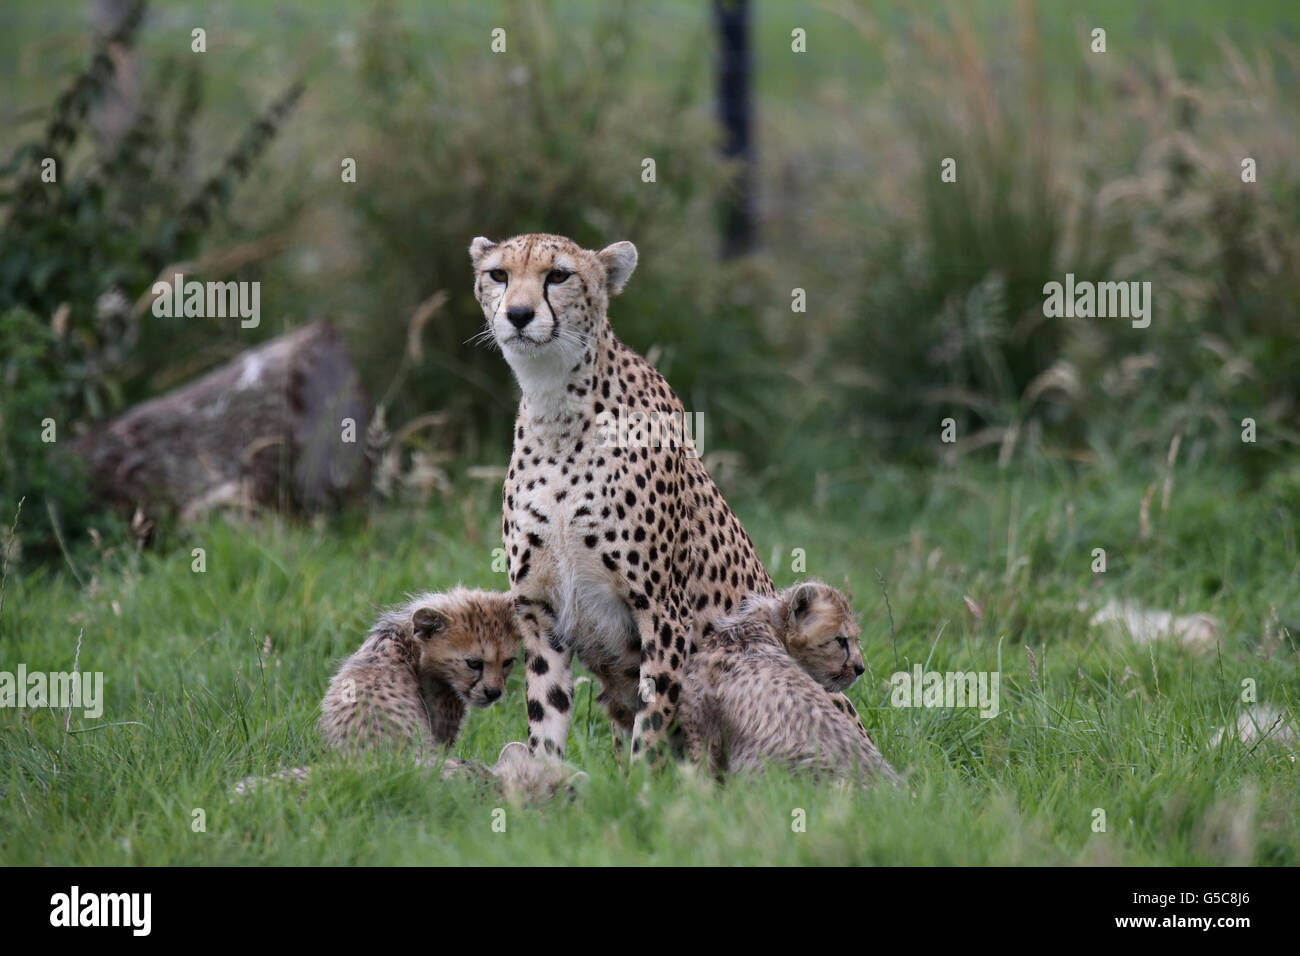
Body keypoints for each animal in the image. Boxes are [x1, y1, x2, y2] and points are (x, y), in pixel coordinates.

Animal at [473, 234, 878, 764]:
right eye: (498, 274)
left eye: (558, 275)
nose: (518, 314)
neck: (556, 409)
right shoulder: (541, 613)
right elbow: (547, 716)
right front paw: (542, 777)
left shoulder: (662, 611)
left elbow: (653, 719)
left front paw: (642, 780)